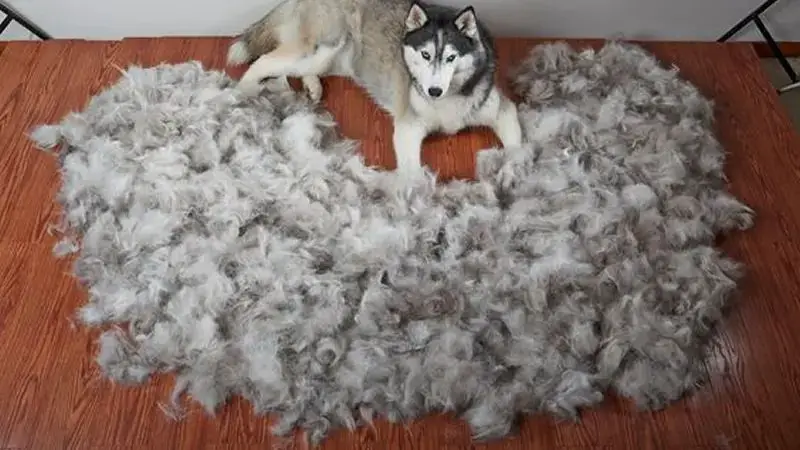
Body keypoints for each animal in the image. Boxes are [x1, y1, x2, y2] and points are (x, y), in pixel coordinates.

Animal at [227, 0, 524, 175]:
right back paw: (242, 94)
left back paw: (311, 86)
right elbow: (412, 173)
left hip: (336, 60)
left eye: (451, 57)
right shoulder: (408, 128)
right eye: (425, 54)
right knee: (264, 62)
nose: (434, 91)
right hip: (316, 49)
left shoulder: (502, 110)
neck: (448, 99)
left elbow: (516, 148)